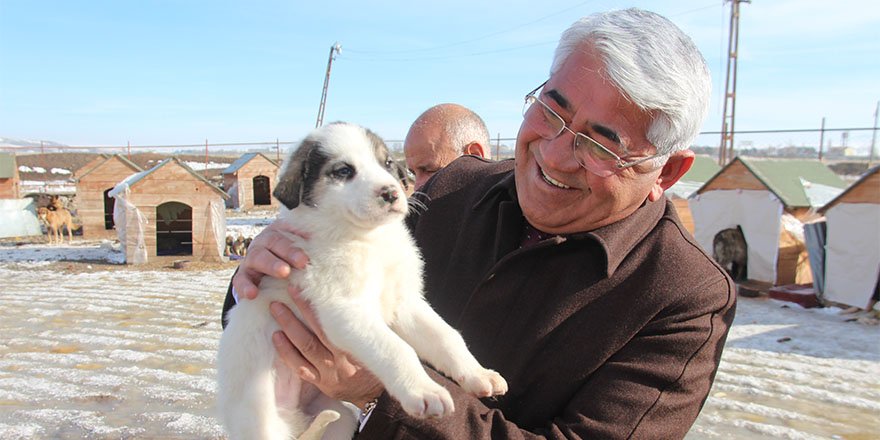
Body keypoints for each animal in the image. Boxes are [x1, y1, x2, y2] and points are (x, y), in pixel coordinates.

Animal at [217, 122, 508, 438]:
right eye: (344, 171)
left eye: (388, 163)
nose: (391, 193)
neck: (369, 240)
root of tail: (295, 422)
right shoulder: (345, 309)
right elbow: (397, 348)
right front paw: (424, 392)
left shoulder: (405, 303)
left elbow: (447, 336)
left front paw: (479, 375)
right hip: (264, 424)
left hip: (339, 418)